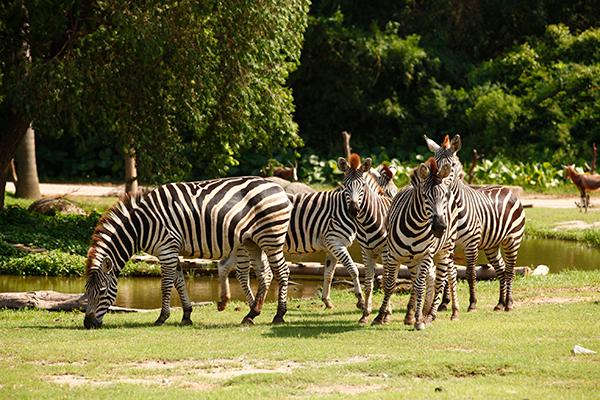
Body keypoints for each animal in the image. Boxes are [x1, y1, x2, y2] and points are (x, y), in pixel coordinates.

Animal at [82, 177, 292, 328]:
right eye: (86, 292)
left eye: (102, 291)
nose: (87, 324)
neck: (142, 226)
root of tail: (278, 187)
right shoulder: (171, 250)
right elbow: (179, 281)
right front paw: (186, 315)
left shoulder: (167, 249)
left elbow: (166, 284)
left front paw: (162, 317)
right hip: (252, 242)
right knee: (265, 274)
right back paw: (251, 314)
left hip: (271, 238)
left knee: (282, 272)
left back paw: (278, 315)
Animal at [370, 158, 460, 330]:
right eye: (425, 196)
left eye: (444, 196)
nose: (440, 227)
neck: (416, 227)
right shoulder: (392, 255)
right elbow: (390, 284)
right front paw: (379, 317)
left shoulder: (426, 255)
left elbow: (420, 286)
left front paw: (419, 321)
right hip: (412, 260)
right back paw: (411, 315)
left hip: (445, 249)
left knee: (443, 278)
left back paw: (432, 315)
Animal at [426, 134, 524, 312]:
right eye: (434, 163)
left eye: (452, 165)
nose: (439, 183)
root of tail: (506, 188)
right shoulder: (449, 244)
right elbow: (448, 273)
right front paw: (444, 303)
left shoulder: (471, 244)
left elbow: (470, 273)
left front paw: (472, 303)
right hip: (492, 245)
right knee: (501, 270)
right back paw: (500, 303)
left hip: (513, 240)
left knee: (510, 270)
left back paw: (509, 303)